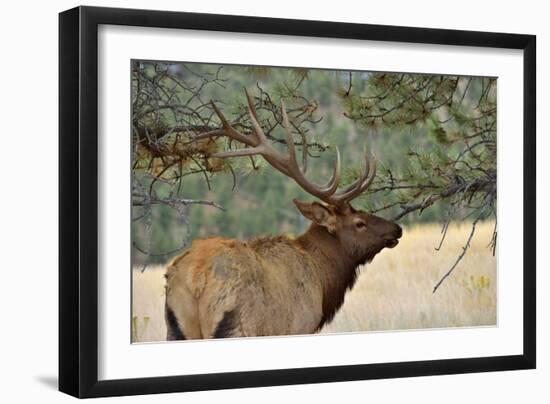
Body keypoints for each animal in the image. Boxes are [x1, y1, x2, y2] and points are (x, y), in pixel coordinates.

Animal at [162, 90, 404, 340]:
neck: (323, 281)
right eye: (359, 223)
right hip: (237, 325)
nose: (397, 228)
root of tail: (196, 278)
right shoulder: (301, 324)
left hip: (175, 329)